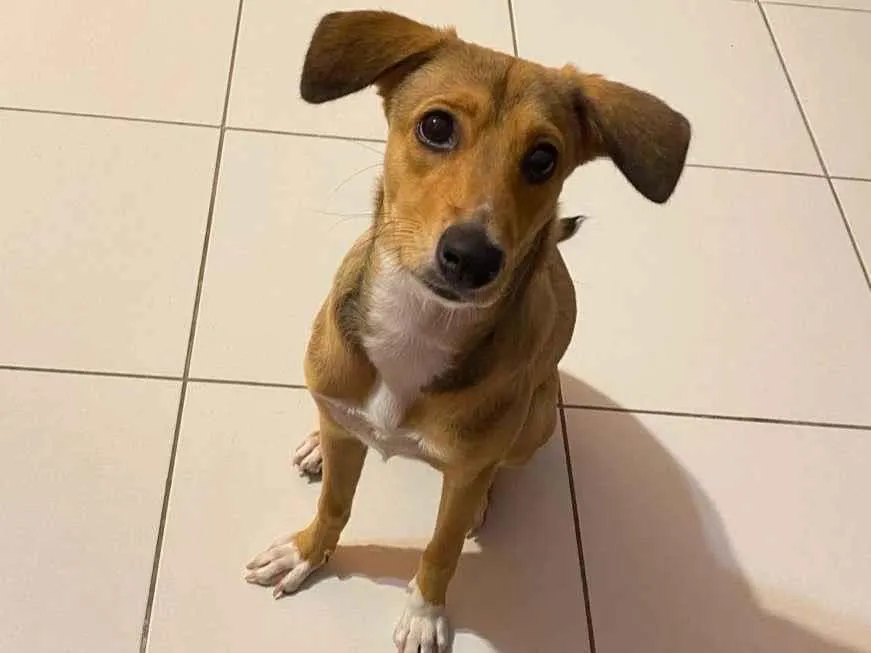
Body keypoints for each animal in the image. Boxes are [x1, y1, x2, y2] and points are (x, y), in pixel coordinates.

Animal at [245, 10, 690, 652]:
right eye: (436, 126)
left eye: (543, 159)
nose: (473, 257)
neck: (417, 325)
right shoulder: (341, 405)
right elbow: (335, 503)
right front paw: (306, 553)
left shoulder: (464, 476)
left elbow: (441, 549)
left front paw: (424, 613)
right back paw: (317, 446)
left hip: (535, 421)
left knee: (492, 470)